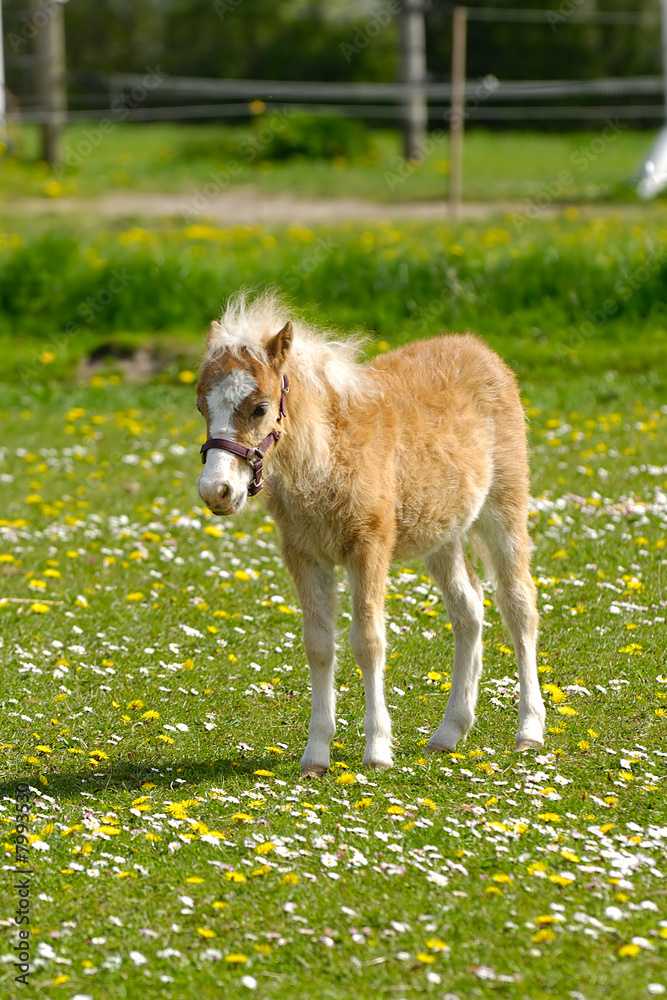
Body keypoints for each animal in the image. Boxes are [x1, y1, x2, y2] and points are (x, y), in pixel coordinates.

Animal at [196, 292, 546, 776]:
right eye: (202, 406)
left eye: (260, 407)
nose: (216, 491)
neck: (327, 455)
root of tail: (480, 349)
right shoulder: (303, 554)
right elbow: (319, 645)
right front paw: (316, 755)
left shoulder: (370, 547)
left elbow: (368, 641)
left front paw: (378, 750)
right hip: (442, 533)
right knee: (469, 609)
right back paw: (449, 731)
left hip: (502, 511)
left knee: (518, 604)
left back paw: (529, 729)